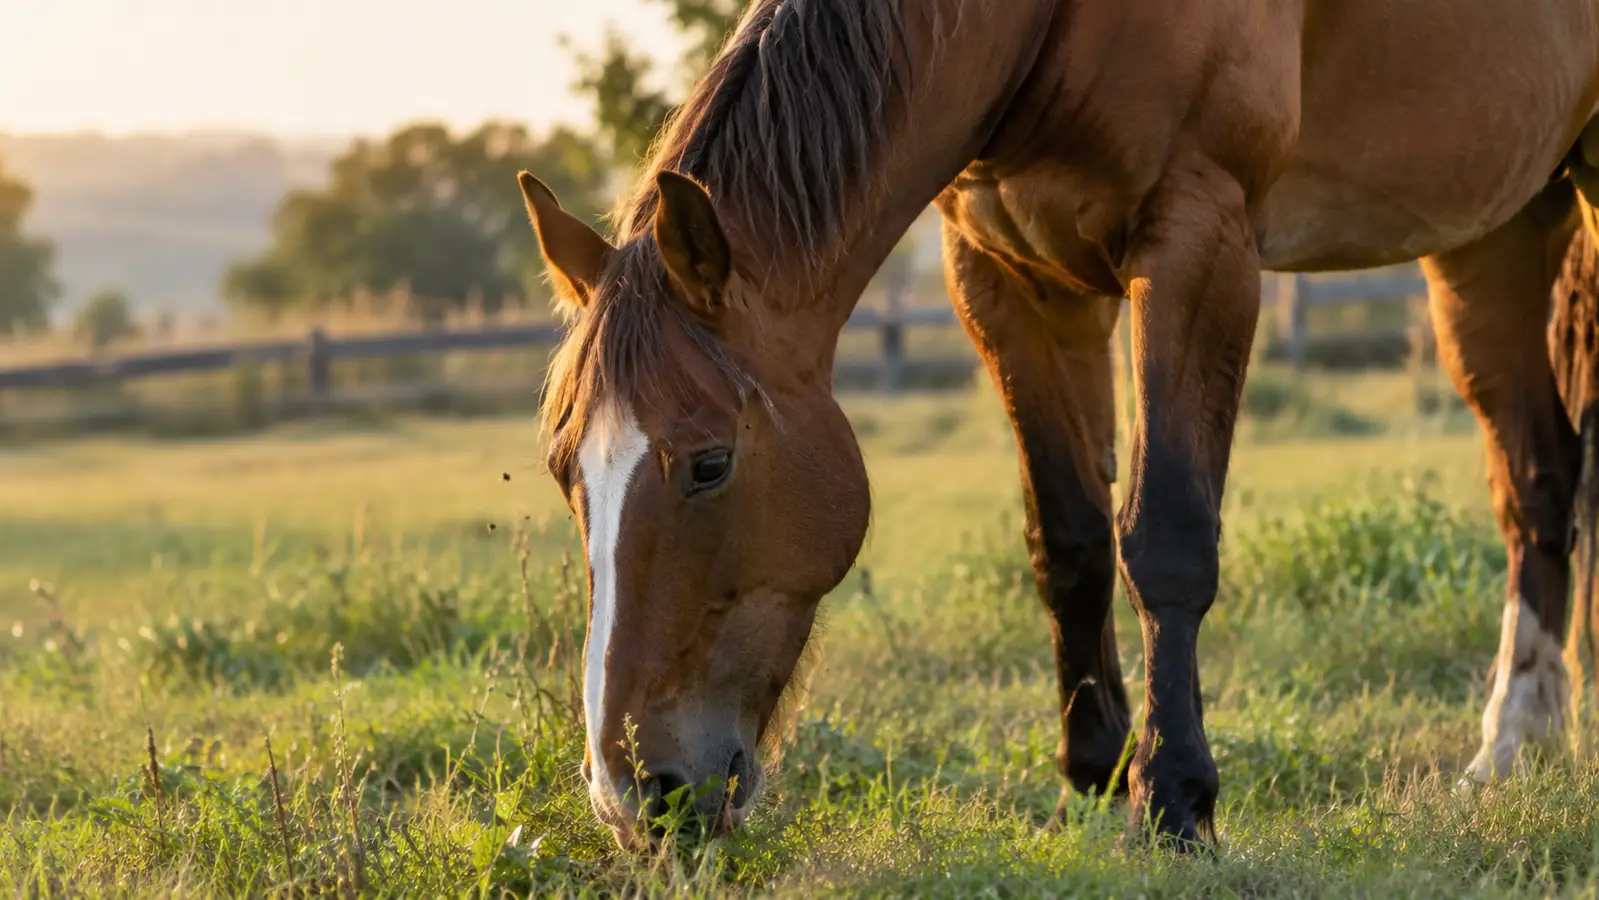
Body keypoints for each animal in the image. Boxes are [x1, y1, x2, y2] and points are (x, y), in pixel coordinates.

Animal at [519, 0, 1599, 849]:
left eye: (707, 464)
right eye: (565, 472)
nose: (632, 795)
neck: (1045, 21)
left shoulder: (1197, 243)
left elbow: (1165, 537)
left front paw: (1175, 803)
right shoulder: (1011, 279)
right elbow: (1069, 537)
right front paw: (1097, 769)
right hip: (1497, 229)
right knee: (1538, 482)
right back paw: (1518, 744)